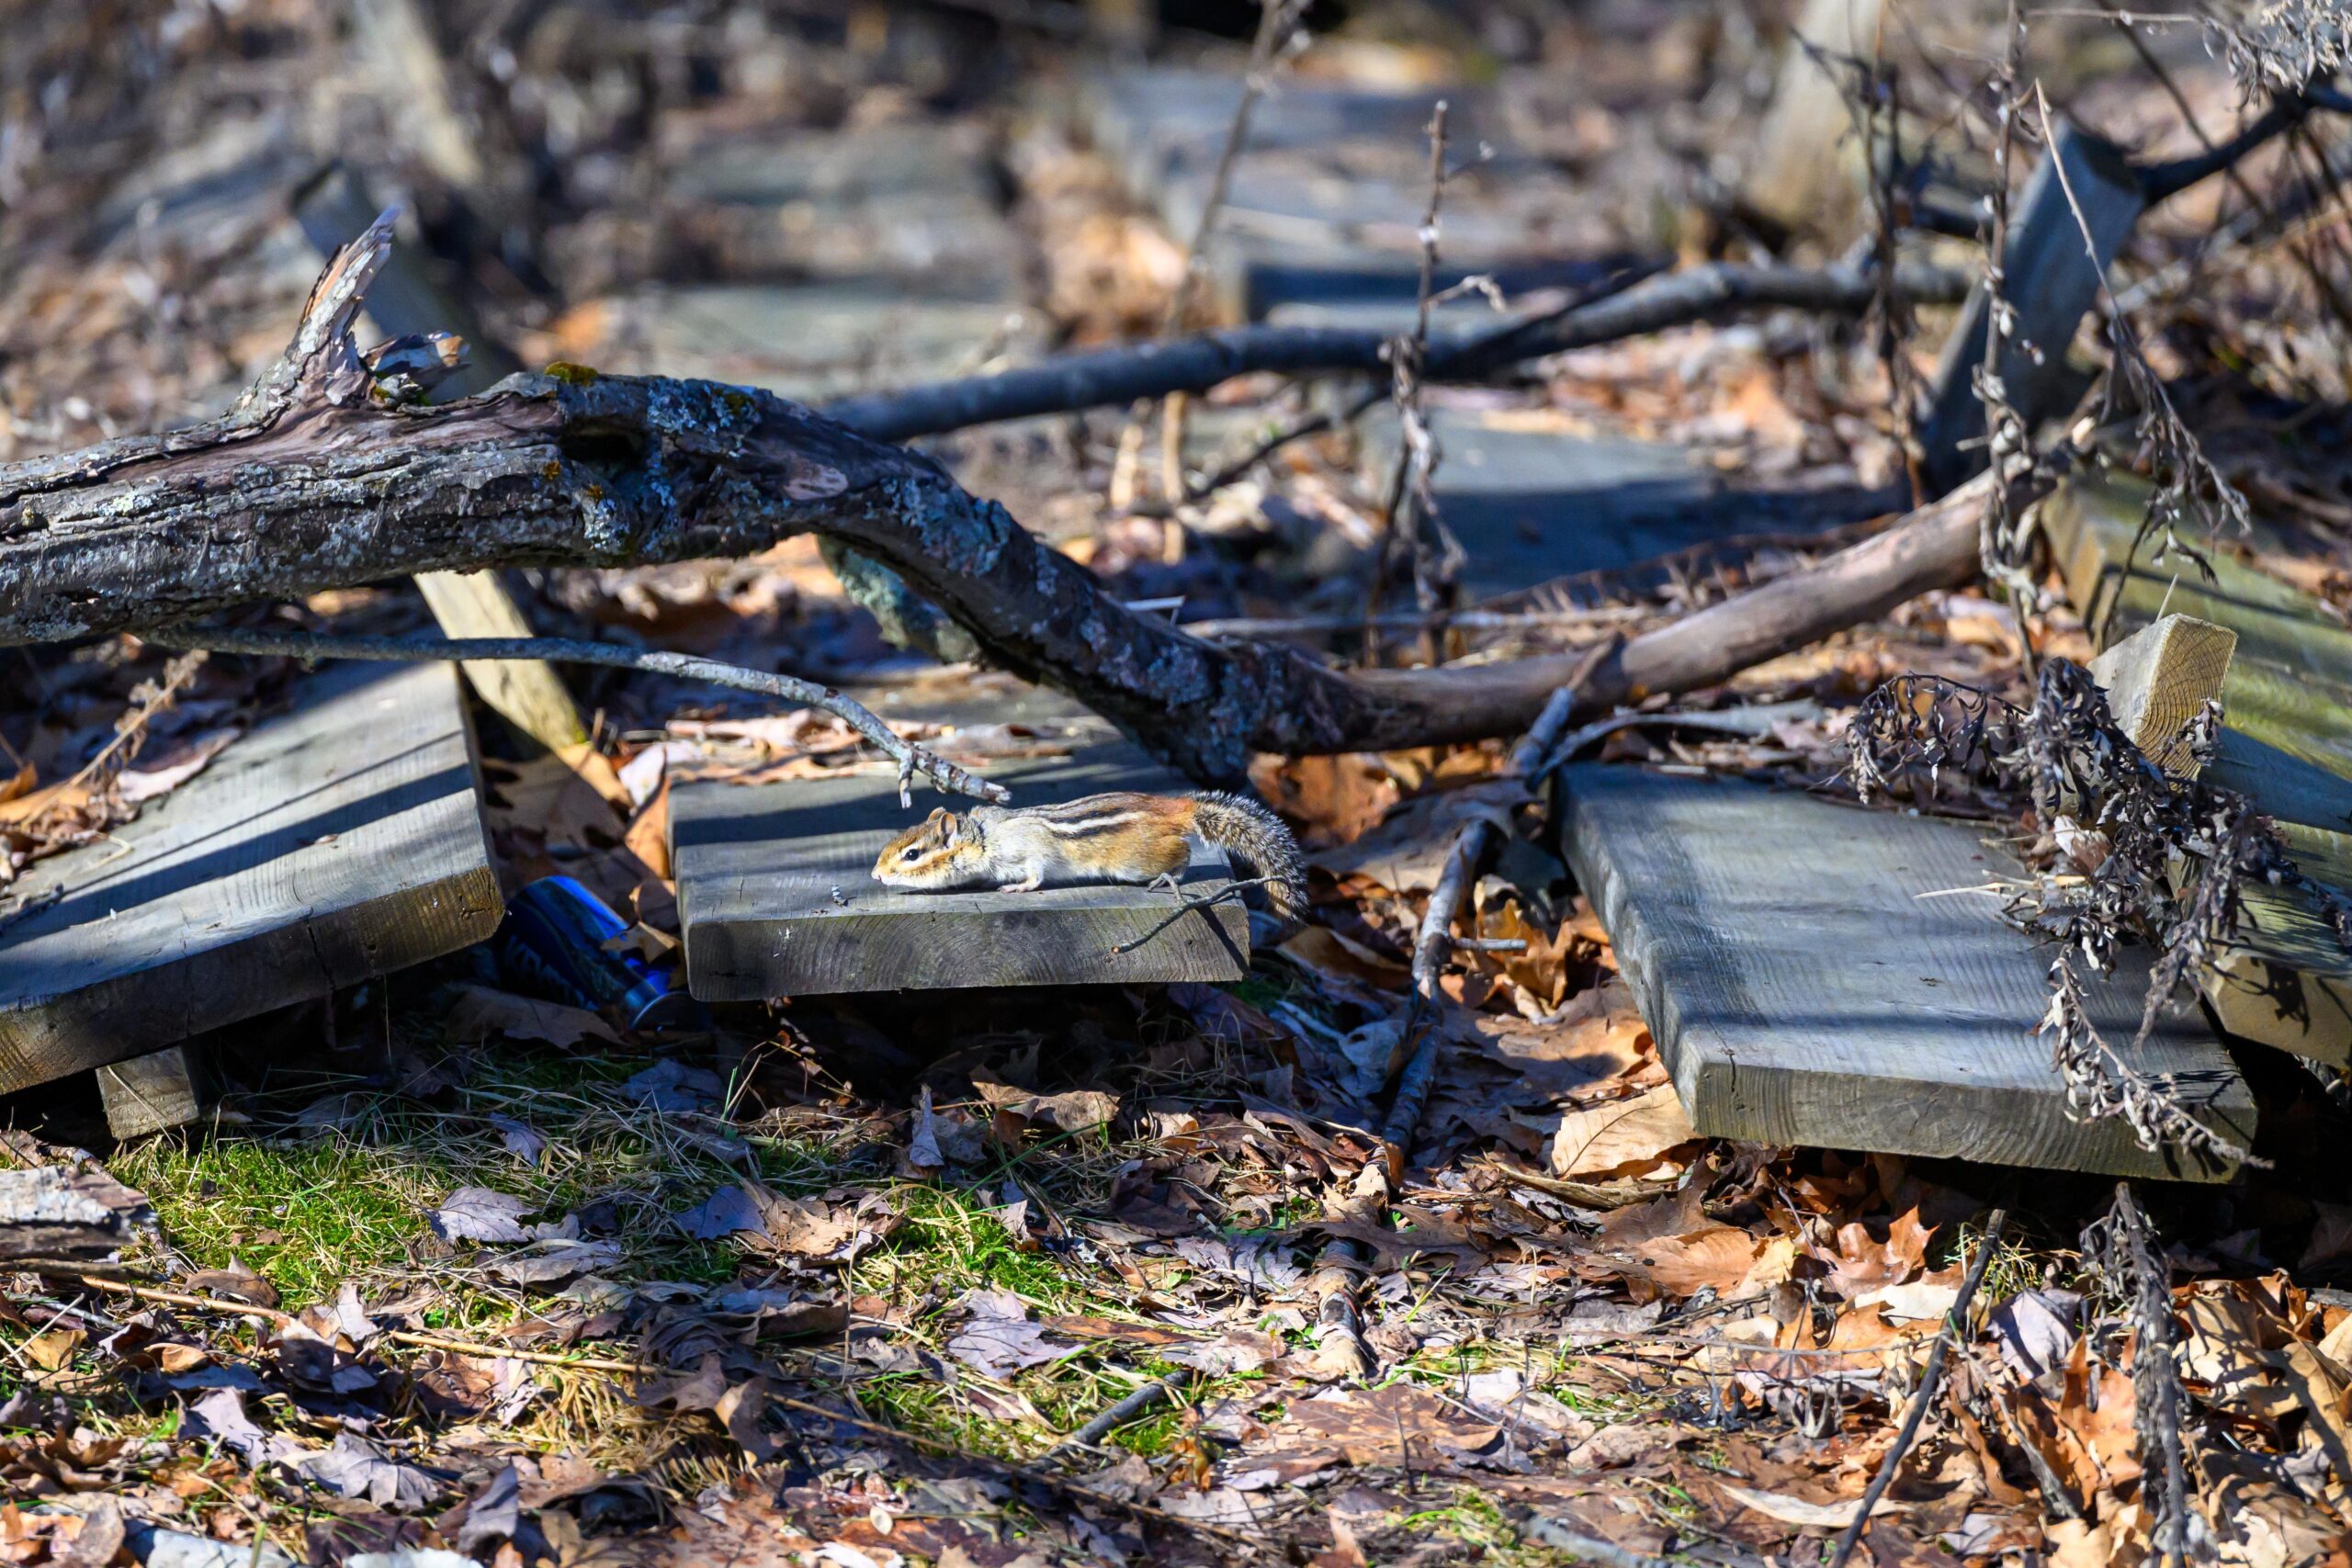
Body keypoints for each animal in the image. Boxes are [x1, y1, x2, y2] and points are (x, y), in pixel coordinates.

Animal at [871, 791, 1307, 943]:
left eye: (911, 854)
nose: (875, 875)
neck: (983, 836)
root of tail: (1177, 807)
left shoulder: (1031, 849)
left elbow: (1036, 873)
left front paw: (1017, 888)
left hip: (1137, 861)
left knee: (1182, 852)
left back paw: (1170, 876)